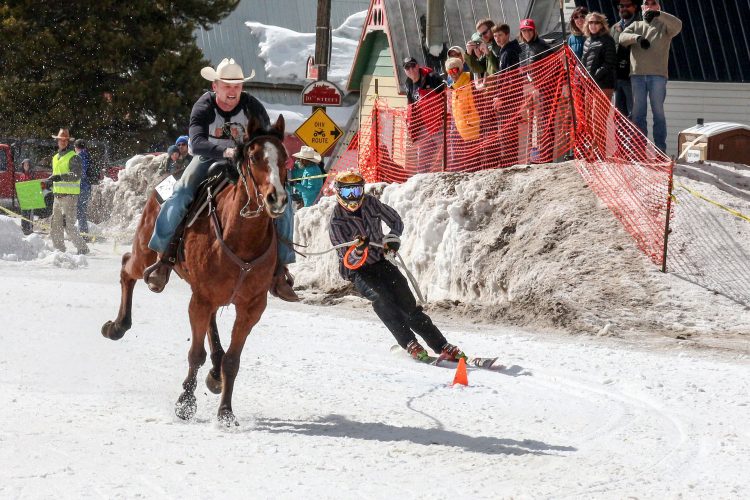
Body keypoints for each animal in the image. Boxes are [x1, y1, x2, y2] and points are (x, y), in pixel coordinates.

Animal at [100, 117, 288, 426]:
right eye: (253, 157)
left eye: (284, 158)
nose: (277, 198)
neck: (241, 238)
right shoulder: (199, 300)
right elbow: (195, 354)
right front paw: (185, 403)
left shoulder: (251, 307)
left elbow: (233, 360)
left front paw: (226, 412)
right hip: (146, 254)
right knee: (127, 267)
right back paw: (117, 326)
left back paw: (215, 372)